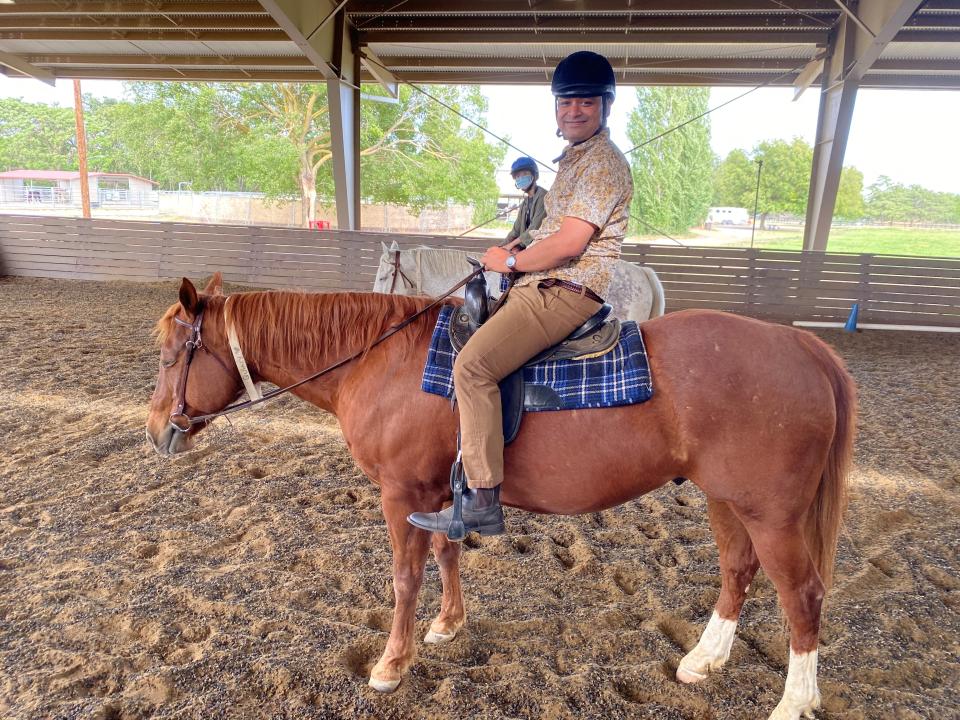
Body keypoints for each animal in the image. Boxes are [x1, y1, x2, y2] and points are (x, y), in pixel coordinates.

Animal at [148, 274, 856, 720]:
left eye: (167, 355)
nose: (157, 431)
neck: (380, 360)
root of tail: (799, 342)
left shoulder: (401, 493)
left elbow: (405, 576)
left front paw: (392, 663)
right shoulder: (440, 492)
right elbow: (446, 554)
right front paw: (448, 624)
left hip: (772, 514)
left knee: (802, 595)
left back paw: (794, 702)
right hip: (726, 501)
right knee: (738, 570)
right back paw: (704, 661)